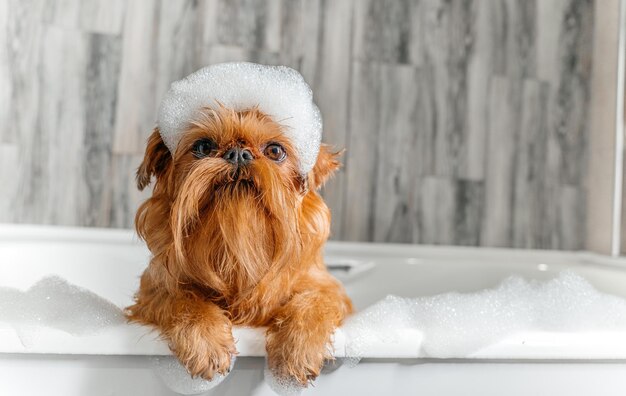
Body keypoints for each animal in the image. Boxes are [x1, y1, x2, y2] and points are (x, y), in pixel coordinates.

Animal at [124, 105, 354, 384]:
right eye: (203, 147)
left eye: (275, 151)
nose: (238, 153)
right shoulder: (155, 288)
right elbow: (183, 299)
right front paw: (205, 339)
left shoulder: (327, 289)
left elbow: (313, 304)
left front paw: (298, 348)